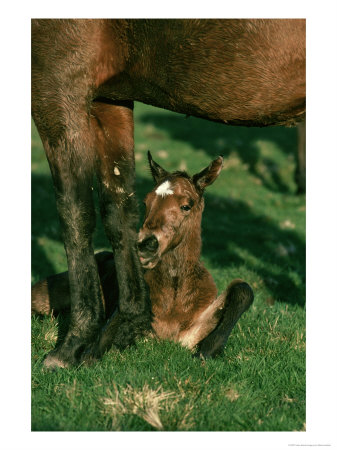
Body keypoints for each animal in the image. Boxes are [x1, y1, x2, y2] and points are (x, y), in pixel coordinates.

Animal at [32, 154, 252, 362]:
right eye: (147, 202)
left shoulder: (191, 333)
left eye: (186, 206)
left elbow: (243, 289)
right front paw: (87, 352)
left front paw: (208, 350)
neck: (175, 291)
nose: (145, 245)